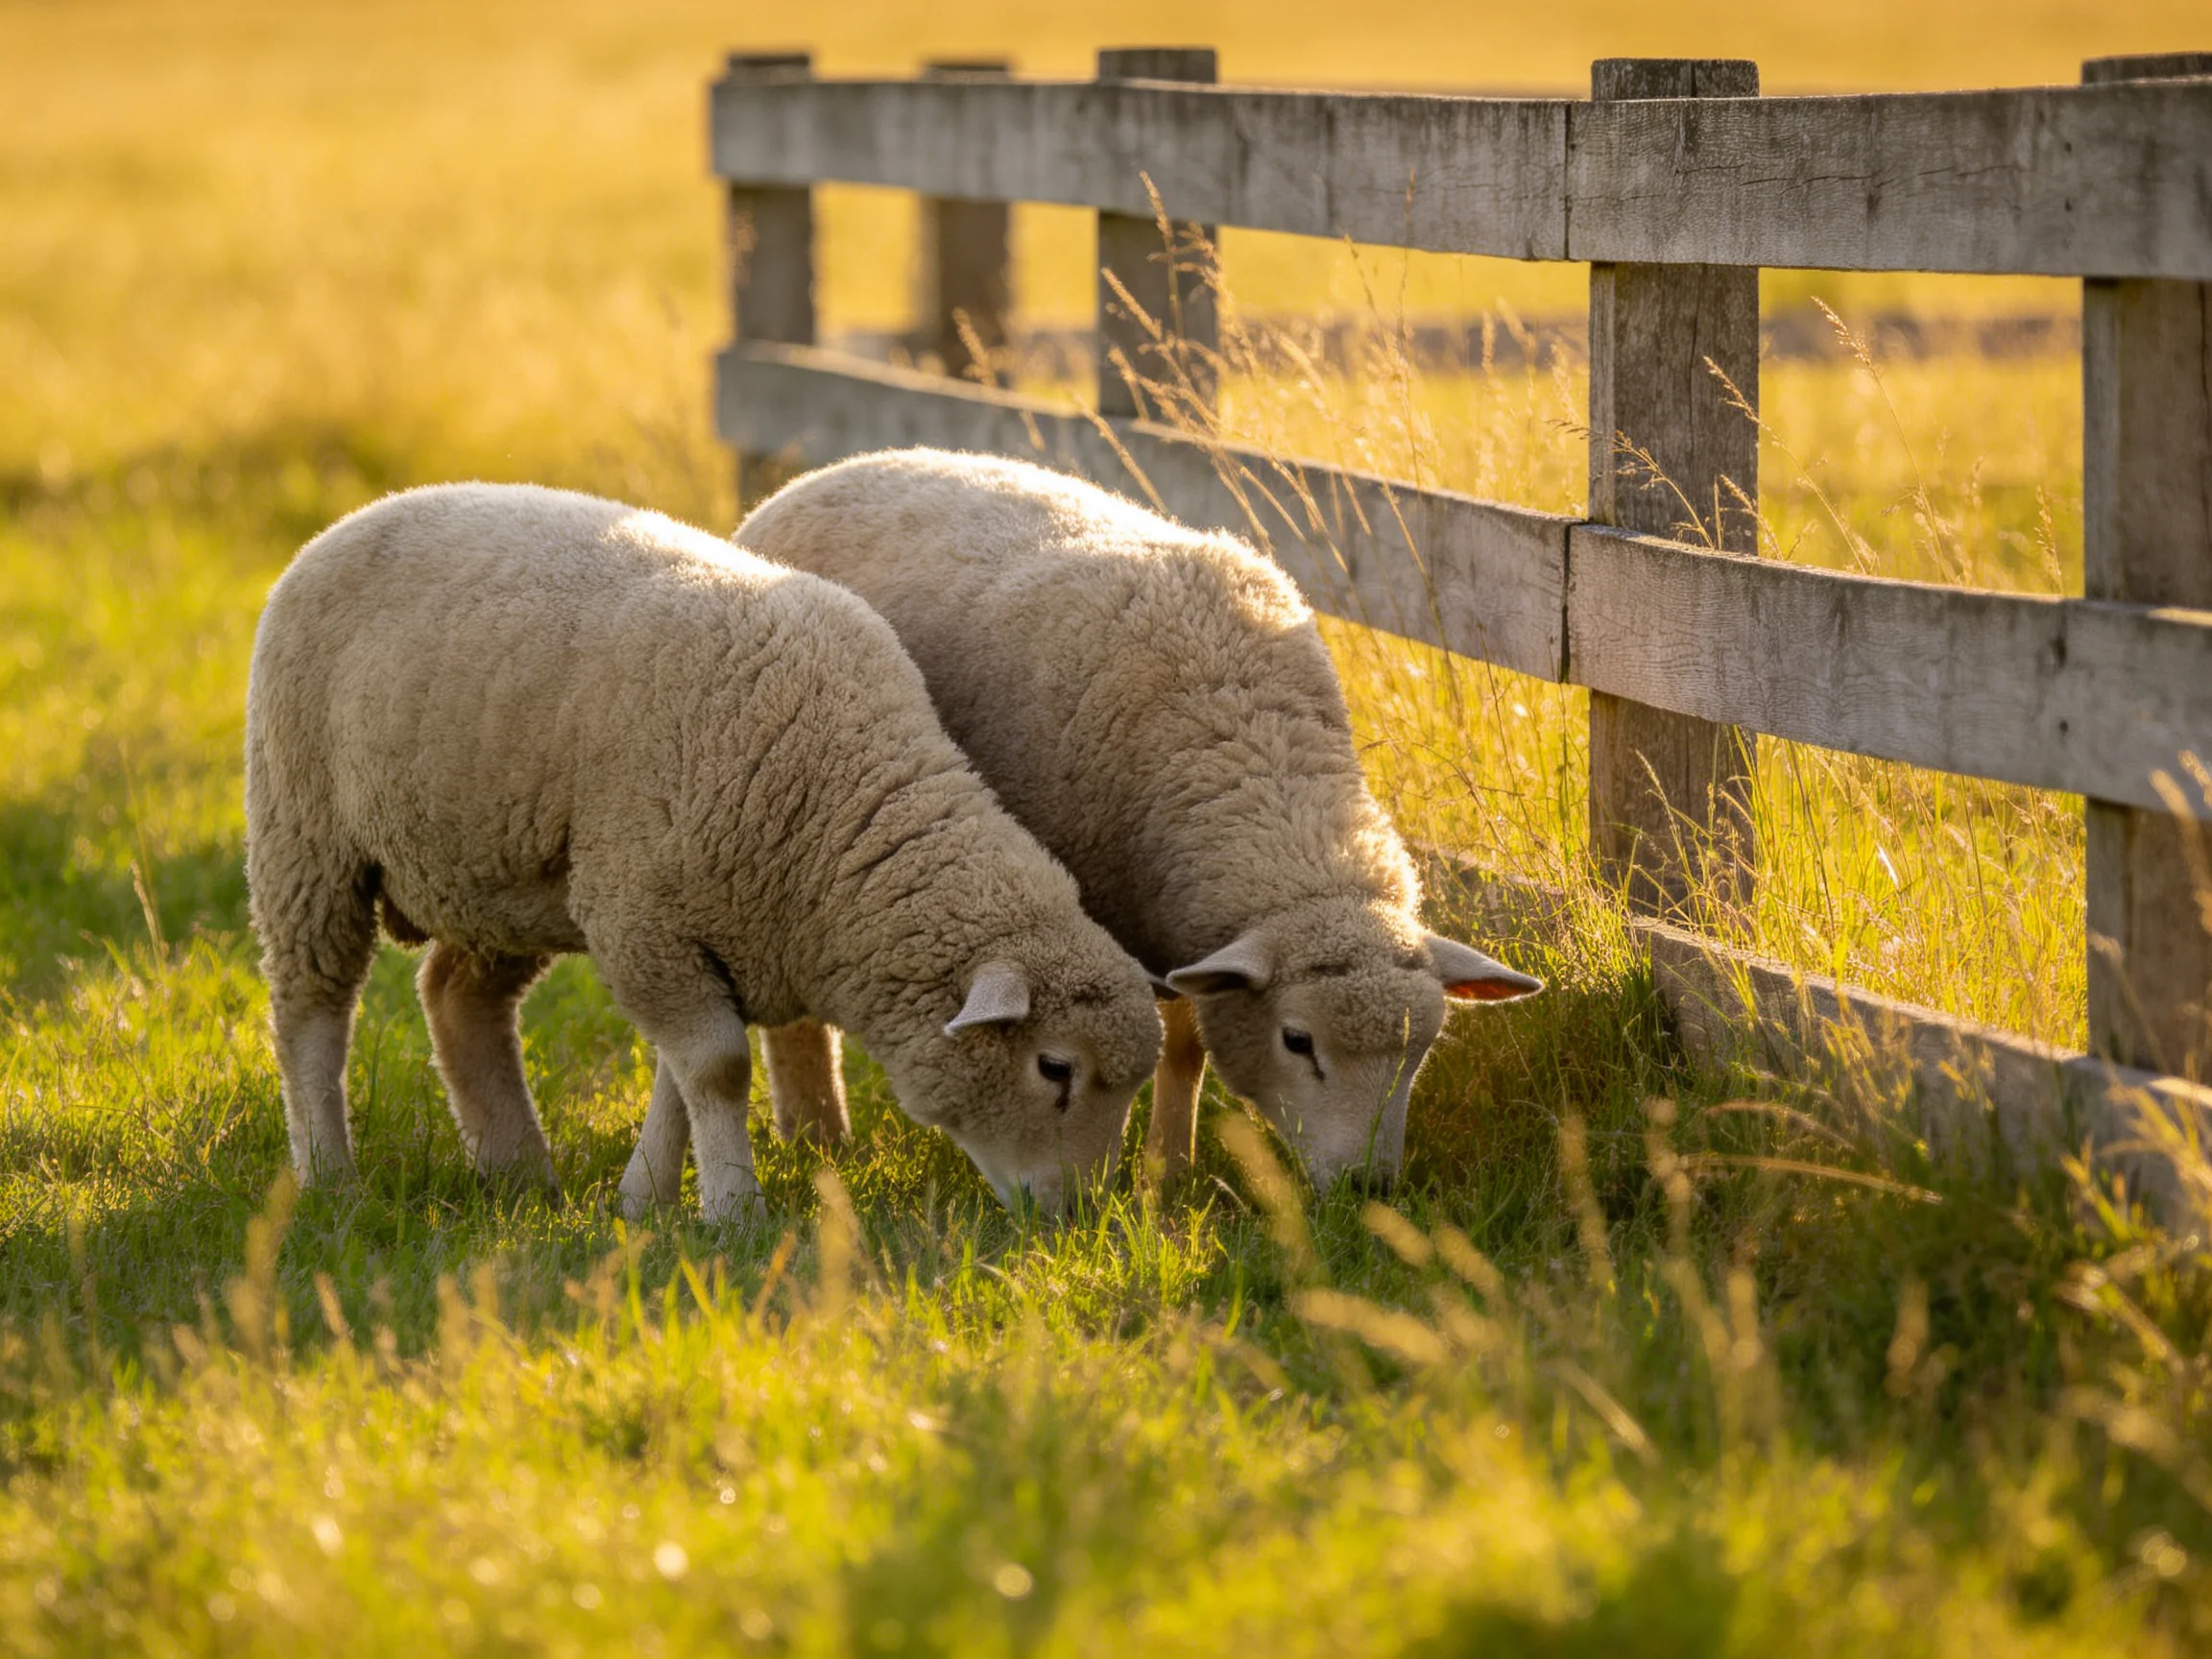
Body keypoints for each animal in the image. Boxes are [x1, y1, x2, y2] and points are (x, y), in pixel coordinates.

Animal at [244, 482, 1162, 1220]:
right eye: (1055, 1068)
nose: (1078, 1217)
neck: (835, 804)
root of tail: (364, 513)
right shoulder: (641, 915)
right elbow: (716, 1070)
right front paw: (731, 1211)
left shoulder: (708, 931)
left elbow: (679, 1079)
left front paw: (644, 1198)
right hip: (306, 835)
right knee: (310, 1012)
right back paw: (330, 1176)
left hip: (498, 874)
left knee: (457, 999)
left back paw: (517, 1171)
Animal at [695, 448, 1542, 1190]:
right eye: (1297, 1041)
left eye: (1421, 1050)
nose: (1369, 1187)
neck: (1252, 751)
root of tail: (824, 472)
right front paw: (1161, 1174)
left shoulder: (1183, 930)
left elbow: (1186, 1049)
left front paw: (1169, 1171)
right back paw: (818, 1138)